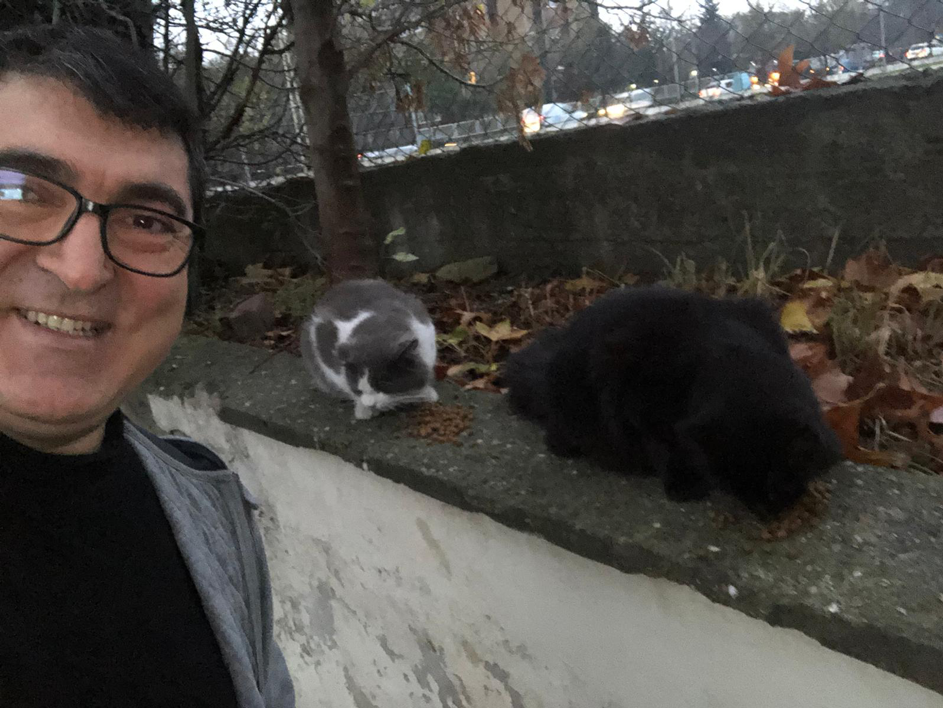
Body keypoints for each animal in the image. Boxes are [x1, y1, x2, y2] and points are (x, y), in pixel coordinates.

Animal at [300, 279, 438, 420]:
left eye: (383, 382)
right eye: (357, 384)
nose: (370, 403)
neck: (376, 331)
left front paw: (427, 394)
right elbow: (346, 386)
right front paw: (363, 410)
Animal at [503, 286, 842, 517]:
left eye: (775, 481)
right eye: (733, 486)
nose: (764, 512)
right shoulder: (640, 405)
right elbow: (665, 445)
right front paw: (684, 484)